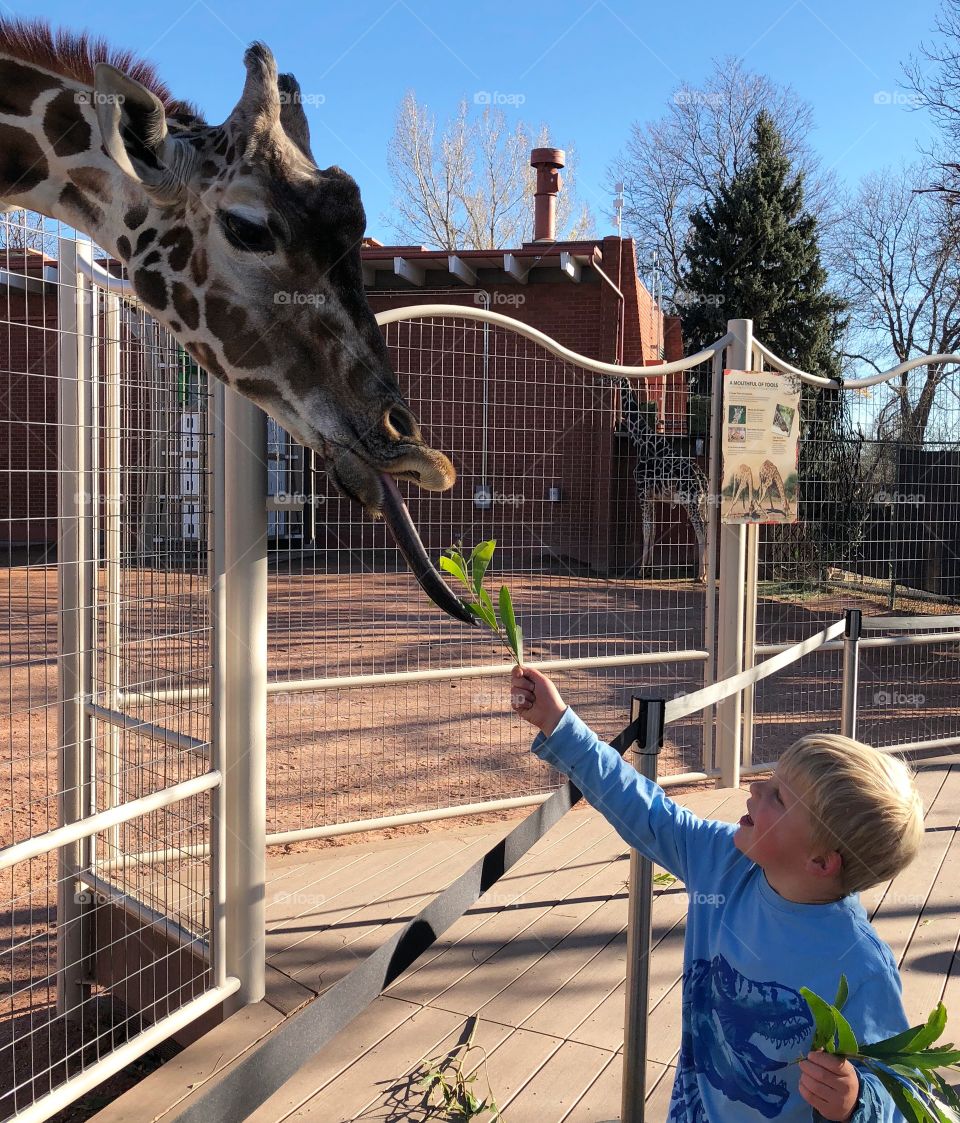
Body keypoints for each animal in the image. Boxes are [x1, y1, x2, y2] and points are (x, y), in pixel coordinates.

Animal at [612, 378, 709, 582]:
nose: (601, 378)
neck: (643, 440)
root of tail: (702, 480)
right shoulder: (653, 496)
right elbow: (654, 529)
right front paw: (648, 569)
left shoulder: (641, 491)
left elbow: (646, 529)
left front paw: (641, 571)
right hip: (703, 503)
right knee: (707, 529)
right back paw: (704, 573)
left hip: (690, 502)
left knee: (701, 531)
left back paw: (701, 576)